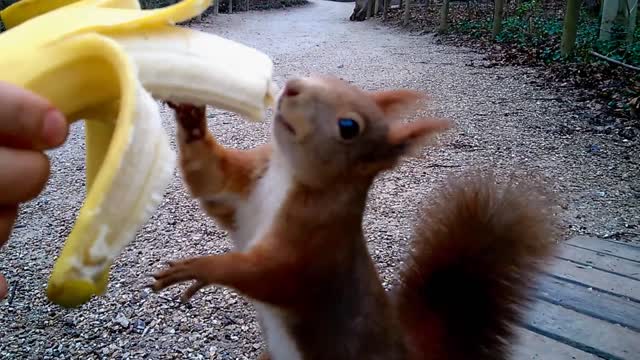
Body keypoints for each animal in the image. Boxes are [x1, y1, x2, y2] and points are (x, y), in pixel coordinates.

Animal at [150, 74, 556, 358]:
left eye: (349, 127)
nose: (292, 87)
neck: (286, 175)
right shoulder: (245, 190)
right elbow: (211, 179)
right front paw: (191, 115)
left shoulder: (314, 245)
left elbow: (272, 274)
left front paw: (200, 269)